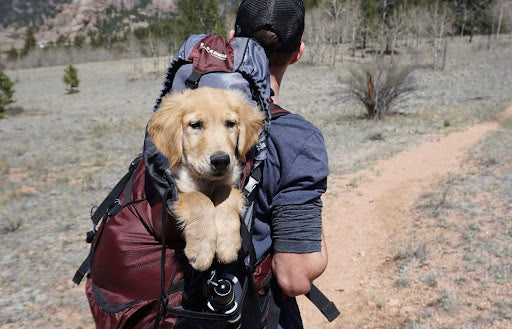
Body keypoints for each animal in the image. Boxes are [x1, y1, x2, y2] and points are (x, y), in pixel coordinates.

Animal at [146, 86, 262, 270]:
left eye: (230, 123)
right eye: (195, 125)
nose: (221, 160)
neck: (207, 181)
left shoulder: (231, 182)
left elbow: (225, 192)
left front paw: (227, 244)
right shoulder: (177, 189)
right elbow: (199, 198)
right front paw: (202, 250)